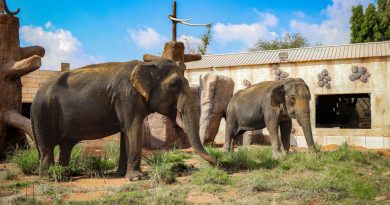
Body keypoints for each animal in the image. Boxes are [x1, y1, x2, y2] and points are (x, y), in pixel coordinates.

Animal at [31, 58, 216, 180]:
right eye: (174, 85)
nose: (217, 163)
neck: (148, 64)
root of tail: (35, 96)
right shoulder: (127, 96)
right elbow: (133, 127)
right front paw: (137, 178)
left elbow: (125, 131)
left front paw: (120, 174)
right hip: (43, 113)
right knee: (47, 146)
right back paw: (49, 177)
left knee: (65, 146)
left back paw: (65, 174)